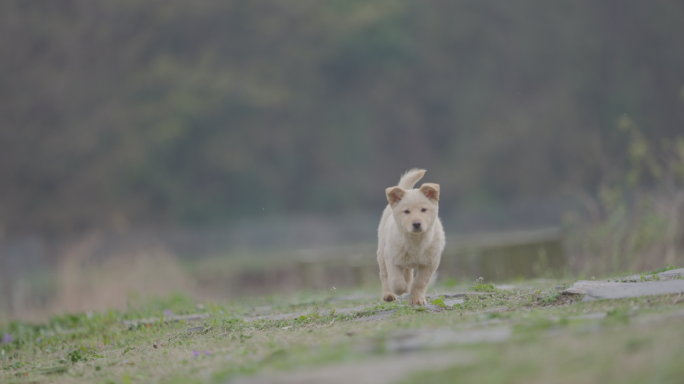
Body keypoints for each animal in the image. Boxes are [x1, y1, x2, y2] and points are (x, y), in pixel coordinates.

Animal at [376, 168, 446, 306]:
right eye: (406, 211)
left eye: (423, 210)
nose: (416, 224)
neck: (416, 241)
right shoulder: (391, 257)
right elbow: (395, 280)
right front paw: (401, 289)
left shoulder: (431, 262)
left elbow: (420, 282)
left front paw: (417, 299)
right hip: (382, 251)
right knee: (385, 276)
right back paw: (389, 294)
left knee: (408, 272)